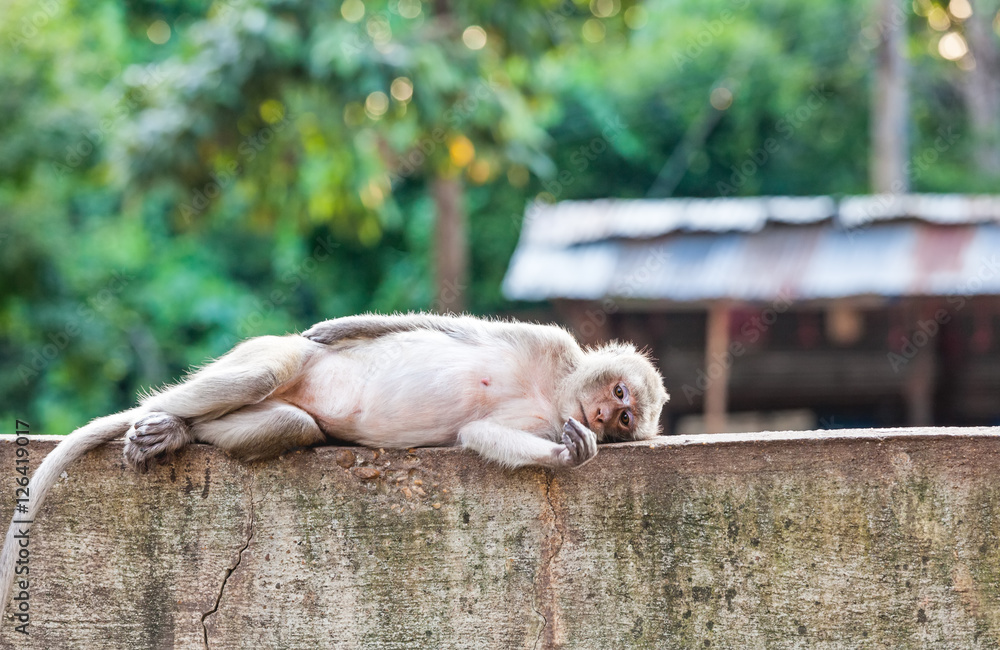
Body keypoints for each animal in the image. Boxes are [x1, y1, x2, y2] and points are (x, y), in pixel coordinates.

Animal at [0, 312, 669, 613]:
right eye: (619, 394)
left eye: (626, 418)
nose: (606, 419)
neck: (554, 392)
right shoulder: (545, 342)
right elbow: (449, 329)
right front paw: (333, 326)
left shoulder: (545, 416)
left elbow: (480, 433)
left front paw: (568, 454)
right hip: (268, 353)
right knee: (265, 370)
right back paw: (158, 419)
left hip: (285, 411)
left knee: (293, 425)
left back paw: (182, 432)